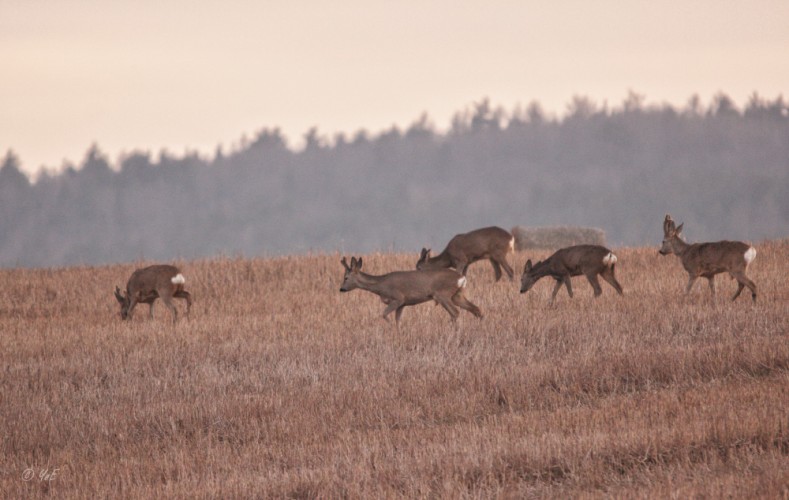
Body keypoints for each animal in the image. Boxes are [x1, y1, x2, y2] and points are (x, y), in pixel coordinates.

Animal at [338, 254, 480, 328]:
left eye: (345, 277)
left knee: (455, 312)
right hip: (457, 295)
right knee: (476, 309)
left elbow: (384, 314)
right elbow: (397, 320)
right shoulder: (403, 304)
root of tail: (461, 277)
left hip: (442, 294)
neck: (380, 286)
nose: (341, 289)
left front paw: (390, 327)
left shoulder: (398, 298)